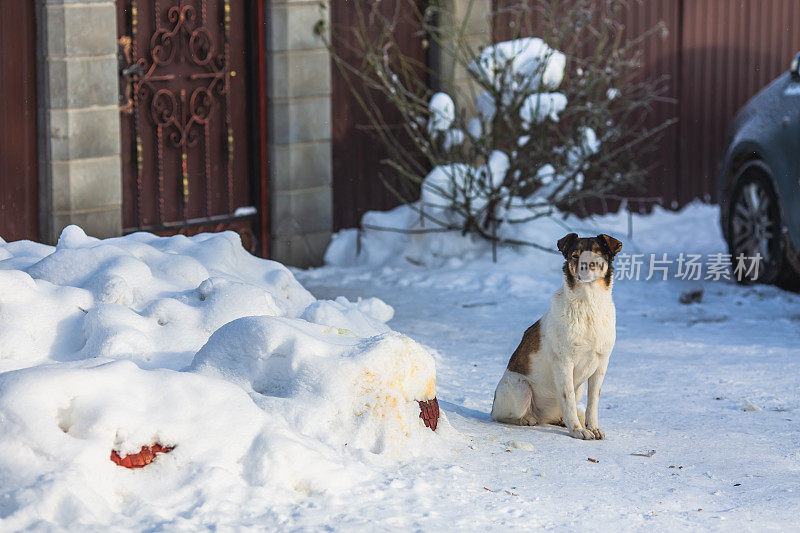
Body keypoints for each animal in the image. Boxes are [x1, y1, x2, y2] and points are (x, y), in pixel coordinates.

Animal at [488, 232, 624, 436]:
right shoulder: (564, 363)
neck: (588, 305)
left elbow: (593, 404)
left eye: (597, 255)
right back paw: (526, 419)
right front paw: (578, 430)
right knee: (501, 416)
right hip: (521, 389)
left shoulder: (601, 364)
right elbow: (568, 399)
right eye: (575, 255)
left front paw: (592, 427)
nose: (584, 268)